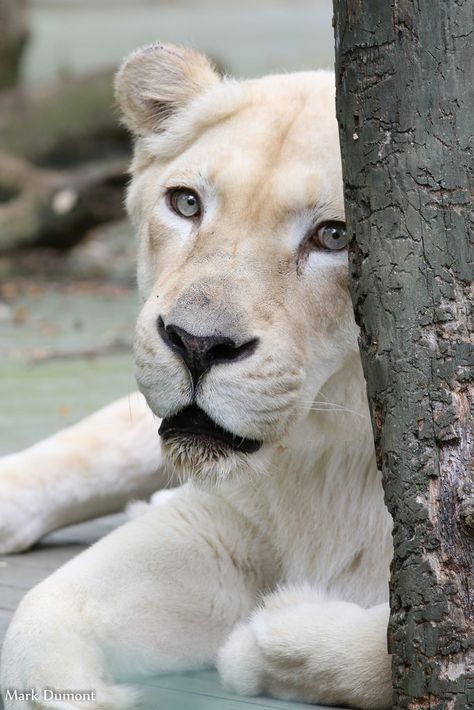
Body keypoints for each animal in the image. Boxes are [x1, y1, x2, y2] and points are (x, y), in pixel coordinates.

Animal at [0, 44, 392, 710]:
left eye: (336, 235)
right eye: (187, 204)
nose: (197, 344)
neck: (332, 466)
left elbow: (394, 651)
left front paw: (265, 642)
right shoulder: (222, 530)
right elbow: (40, 614)